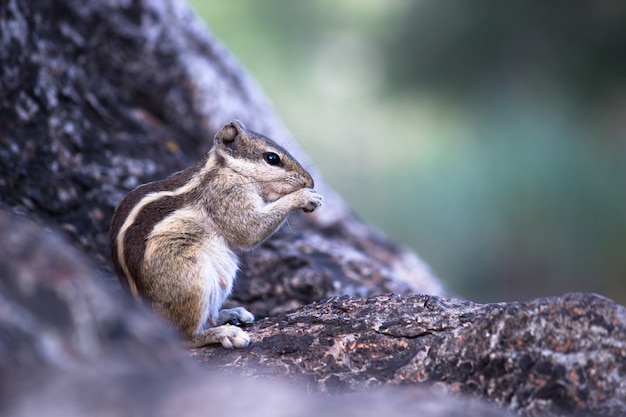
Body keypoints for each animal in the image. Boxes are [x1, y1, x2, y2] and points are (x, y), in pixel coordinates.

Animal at [109, 120, 322, 348]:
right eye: (272, 158)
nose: (310, 182)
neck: (225, 169)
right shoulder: (226, 197)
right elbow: (249, 230)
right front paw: (304, 197)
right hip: (191, 279)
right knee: (183, 337)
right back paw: (224, 333)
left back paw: (231, 314)